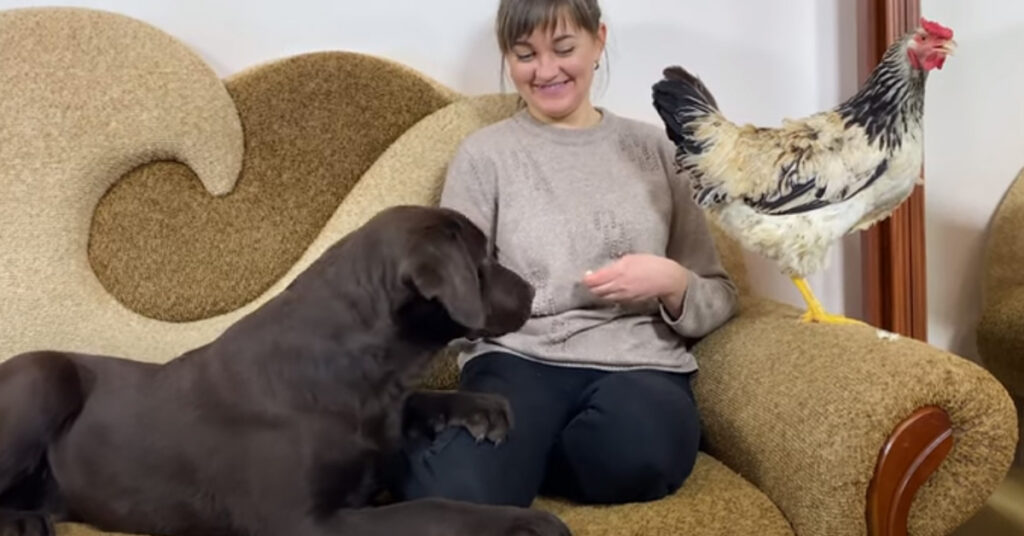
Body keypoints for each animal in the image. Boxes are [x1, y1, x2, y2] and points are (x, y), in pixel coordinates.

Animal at [0, 207, 569, 536]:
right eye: (483, 261)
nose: (532, 292)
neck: (361, 368)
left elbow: (415, 403)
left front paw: (481, 408)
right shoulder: (303, 522)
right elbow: (433, 511)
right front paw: (529, 522)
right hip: (43, 374)